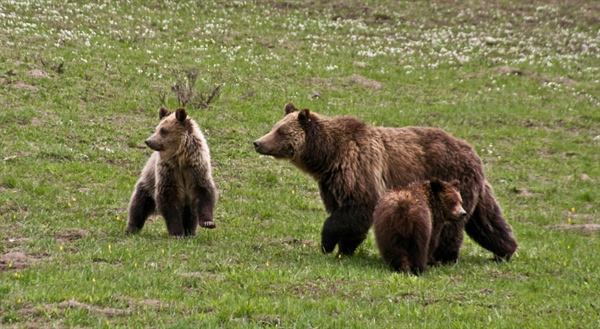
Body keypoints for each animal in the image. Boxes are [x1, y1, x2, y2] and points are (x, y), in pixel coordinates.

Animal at [125, 107, 217, 236]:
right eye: (157, 128)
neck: (180, 159)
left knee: (190, 213)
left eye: (163, 130)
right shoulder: (169, 171)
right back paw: (131, 228)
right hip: (148, 181)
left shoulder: (196, 169)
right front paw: (177, 232)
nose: (148, 141)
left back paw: (190, 231)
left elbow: (203, 191)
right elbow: (168, 198)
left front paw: (208, 222)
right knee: (139, 204)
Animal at [252, 102, 516, 258]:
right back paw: (506, 250)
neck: (328, 157)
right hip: (472, 189)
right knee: (487, 220)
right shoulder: (332, 183)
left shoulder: (359, 170)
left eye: (280, 131)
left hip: (452, 182)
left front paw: (328, 243)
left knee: (452, 226)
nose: (257, 142)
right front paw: (345, 248)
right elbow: (345, 215)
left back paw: (443, 257)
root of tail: (473, 153)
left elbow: (356, 210)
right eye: (274, 126)